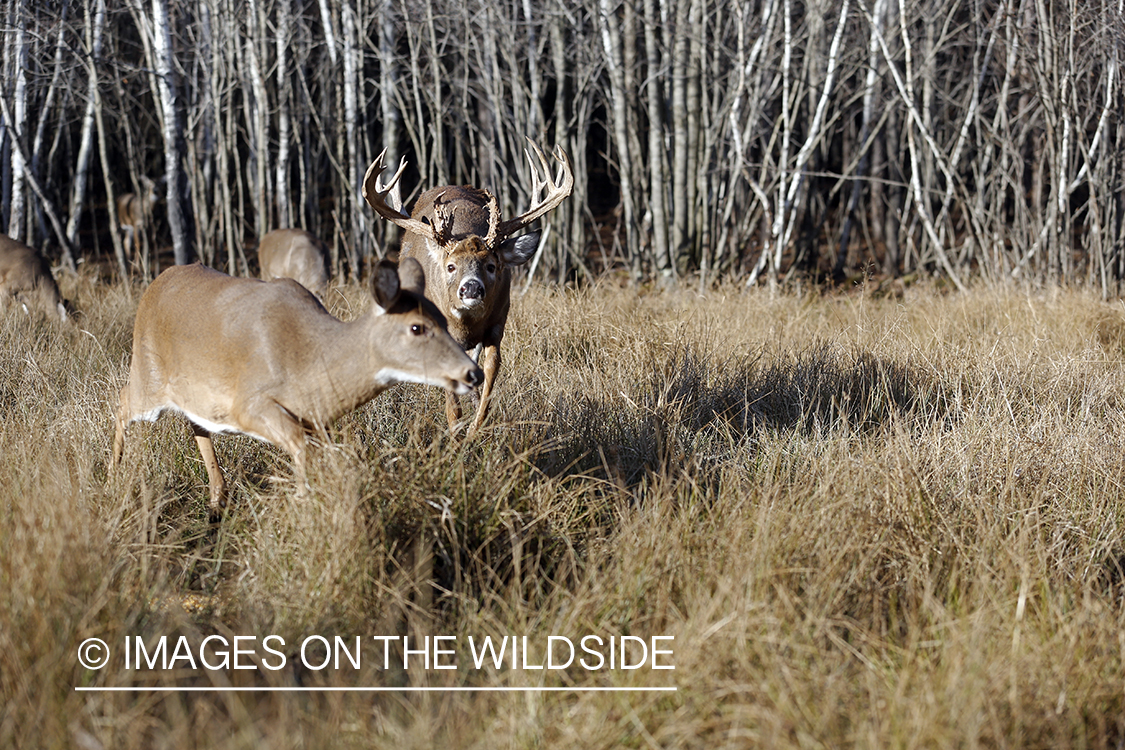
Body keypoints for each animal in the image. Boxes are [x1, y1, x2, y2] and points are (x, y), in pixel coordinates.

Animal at [110, 259, 483, 517]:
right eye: (417, 327)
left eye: (443, 320)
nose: (473, 373)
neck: (307, 366)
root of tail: (156, 283)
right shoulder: (250, 403)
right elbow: (300, 448)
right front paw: (303, 504)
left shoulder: (315, 421)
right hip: (148, 375)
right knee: (123, 400)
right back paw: (115, 474)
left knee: (196, 422)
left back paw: (217, 501)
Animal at [362, 139, 571, 440]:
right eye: (451, 266)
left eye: (491, 266)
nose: (471, 287)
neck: (467, 325)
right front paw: (455, 432)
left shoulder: (498, 323)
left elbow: (490, 373)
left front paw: (474, 428)